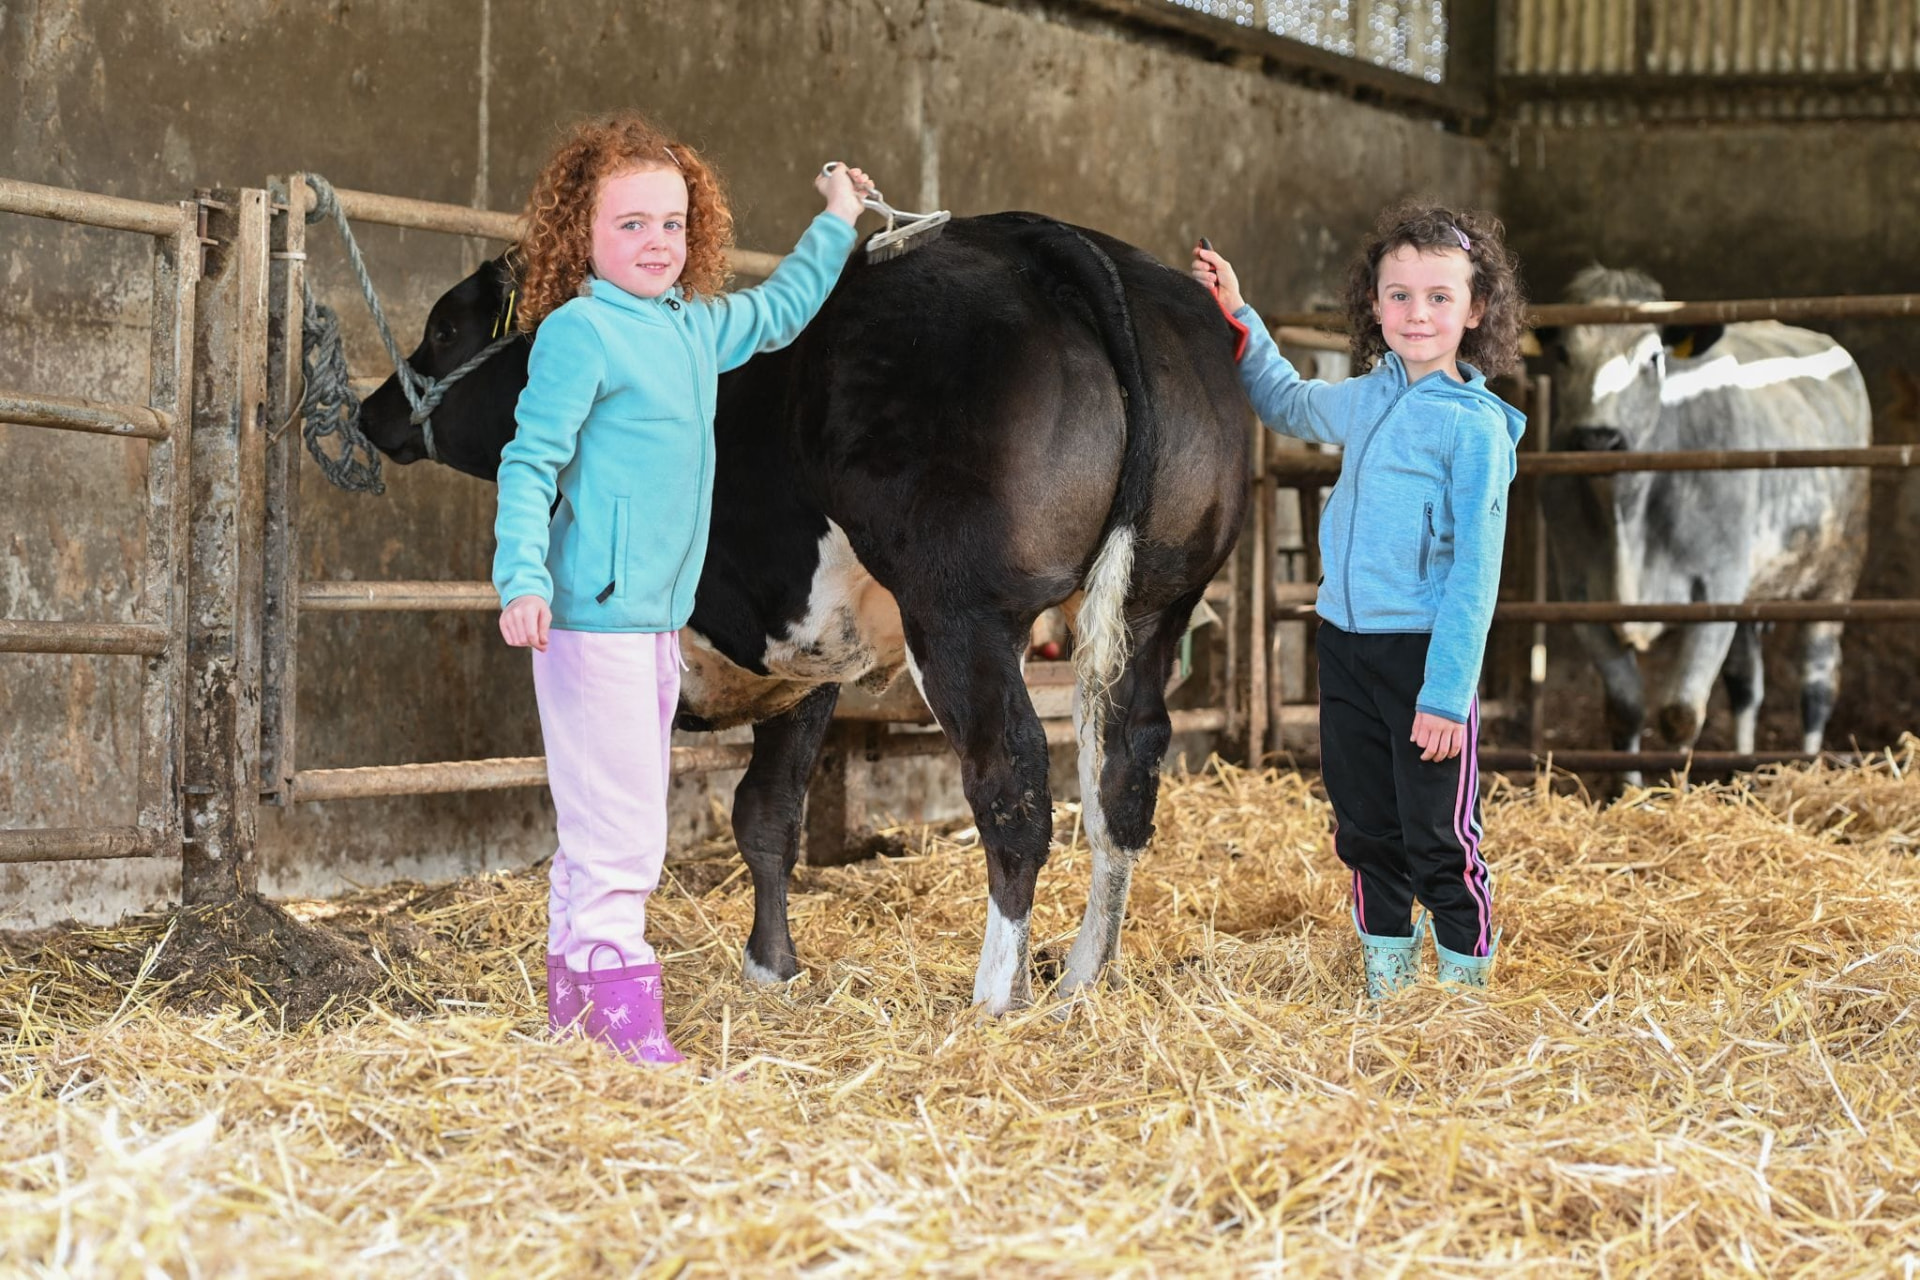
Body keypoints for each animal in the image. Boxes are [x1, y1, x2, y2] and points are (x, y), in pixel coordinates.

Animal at [358, 213, 1249, 1013]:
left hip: (959, 611)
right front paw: (771, 967)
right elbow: (767, 815)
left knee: (1015, 780)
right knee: (1123, 780)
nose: (371, 412)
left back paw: (998, 996)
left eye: (443, 326)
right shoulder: (805, 665)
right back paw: (1081, 981)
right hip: (1152, 608)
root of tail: (1043, 237)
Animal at [1538, 265, 1870, 775]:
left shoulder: (1716, 587)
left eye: (1652, 358)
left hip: (1838, 568)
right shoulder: (1579, 594)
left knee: (1817, 683)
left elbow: (1679, 713)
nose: (1598, 436)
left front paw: (1677, 783)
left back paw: (1808, 762)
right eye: (1562, 353)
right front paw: (1629, 788)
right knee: (1746, 683)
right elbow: (1626, 708)